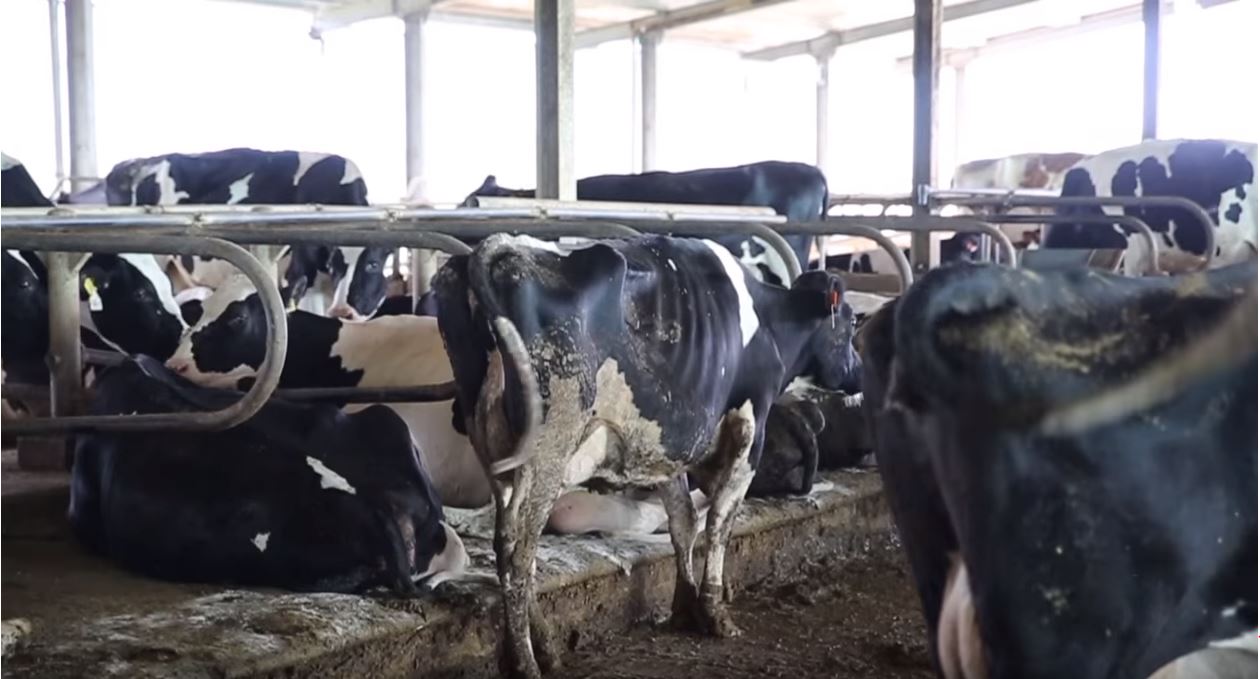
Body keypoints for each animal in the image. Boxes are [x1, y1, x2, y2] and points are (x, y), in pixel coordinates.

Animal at [433, 233, 863, 677]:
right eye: (851, 323)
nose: (858, 372)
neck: (770, 324)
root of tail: (502, 247)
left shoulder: (668, 443)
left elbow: (683, 522)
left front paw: (685, 605)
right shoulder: (749, 427)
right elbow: (719, 523)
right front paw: (715, 613)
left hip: (496, 455)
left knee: (509, 547)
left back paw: (544, 648)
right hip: (547, 451)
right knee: (520, 552)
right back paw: (527, 662)